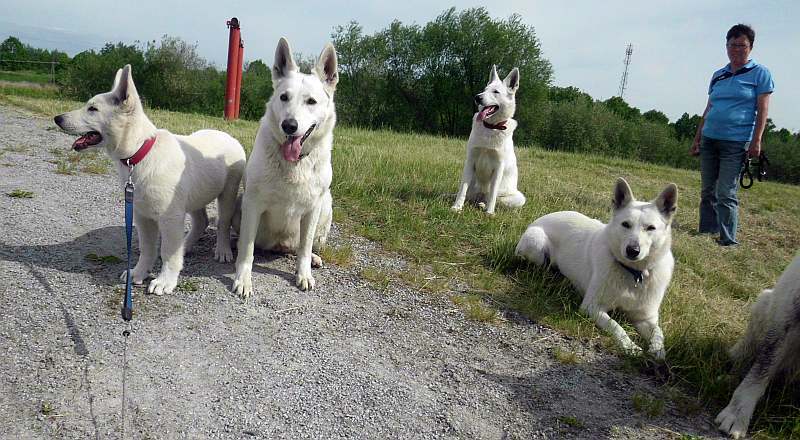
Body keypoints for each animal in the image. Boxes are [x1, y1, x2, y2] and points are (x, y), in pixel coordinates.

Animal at [54, 64, 245, 296]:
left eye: (92, 109)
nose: (57, 118)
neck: (140, 152)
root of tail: (229, 136)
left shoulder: (170, 219)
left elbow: (168, 252)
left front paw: (165, 281)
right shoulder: (142, 216)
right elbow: (147, 249)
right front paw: (139, 272)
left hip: (227, 193)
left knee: (223, 224)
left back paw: (222, 250)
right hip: (195, 197)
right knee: (201, 221)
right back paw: (185, 245)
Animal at [231, 37, 338, 296]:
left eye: (311, 101)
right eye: (284, 97)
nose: (289, 125)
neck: (295, 163)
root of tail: (279, 246)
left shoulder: (313, 208)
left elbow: (305, 247)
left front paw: (304, 273)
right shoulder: (253, 204)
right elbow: (247, 250)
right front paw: (243, 278)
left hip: (326, 206)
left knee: (302, 248)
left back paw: (313, 258)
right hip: (240, 206)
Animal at [516, 178, 680, 358]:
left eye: (651, 228)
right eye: (626, 224)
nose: (632, 250)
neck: (634, 273)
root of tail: (541, 218)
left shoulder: (645, 318)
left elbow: (658, 333)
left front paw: (658, 352)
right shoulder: (592, 307)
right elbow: (616, 325)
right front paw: (630, 346)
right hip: (536, 246)